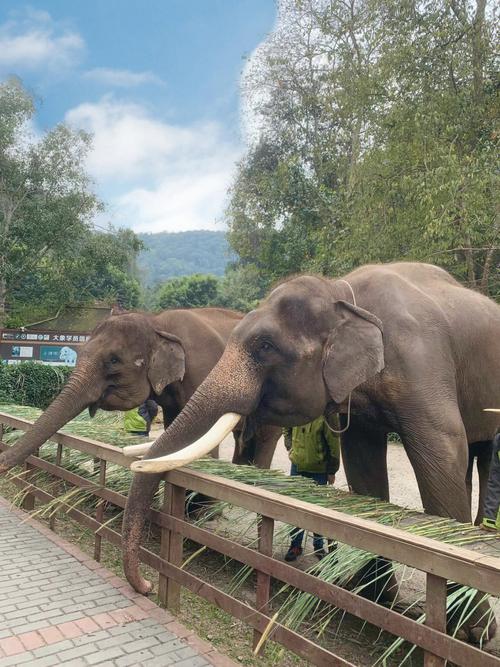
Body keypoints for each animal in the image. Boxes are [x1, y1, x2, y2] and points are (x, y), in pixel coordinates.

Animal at [119, 262, 498, 640]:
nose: (147, 586)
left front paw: (473, 631)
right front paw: (375, 599)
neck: (342, 293)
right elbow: (364, 468)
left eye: (265, 345)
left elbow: (443, 456)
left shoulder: (421, 362)